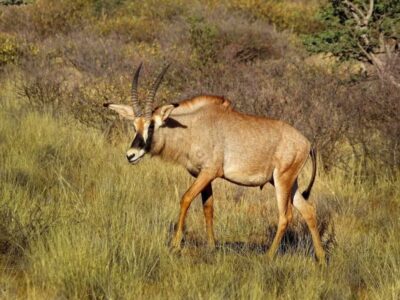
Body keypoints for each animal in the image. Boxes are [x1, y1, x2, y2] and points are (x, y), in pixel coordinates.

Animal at [104, 63, 326, 262]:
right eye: (134, 125)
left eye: (152, 125)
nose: (131, 155)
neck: (193, 127)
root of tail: (307, 143)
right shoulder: (202, 175)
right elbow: (208, 207)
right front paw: (211, 247)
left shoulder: (209, 172)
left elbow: (185, 198)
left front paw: (175, 245)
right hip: (289, 183)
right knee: (308, 211)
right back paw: (321, 259)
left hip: (282, 181)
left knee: (285, 216)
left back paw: (269, 256)